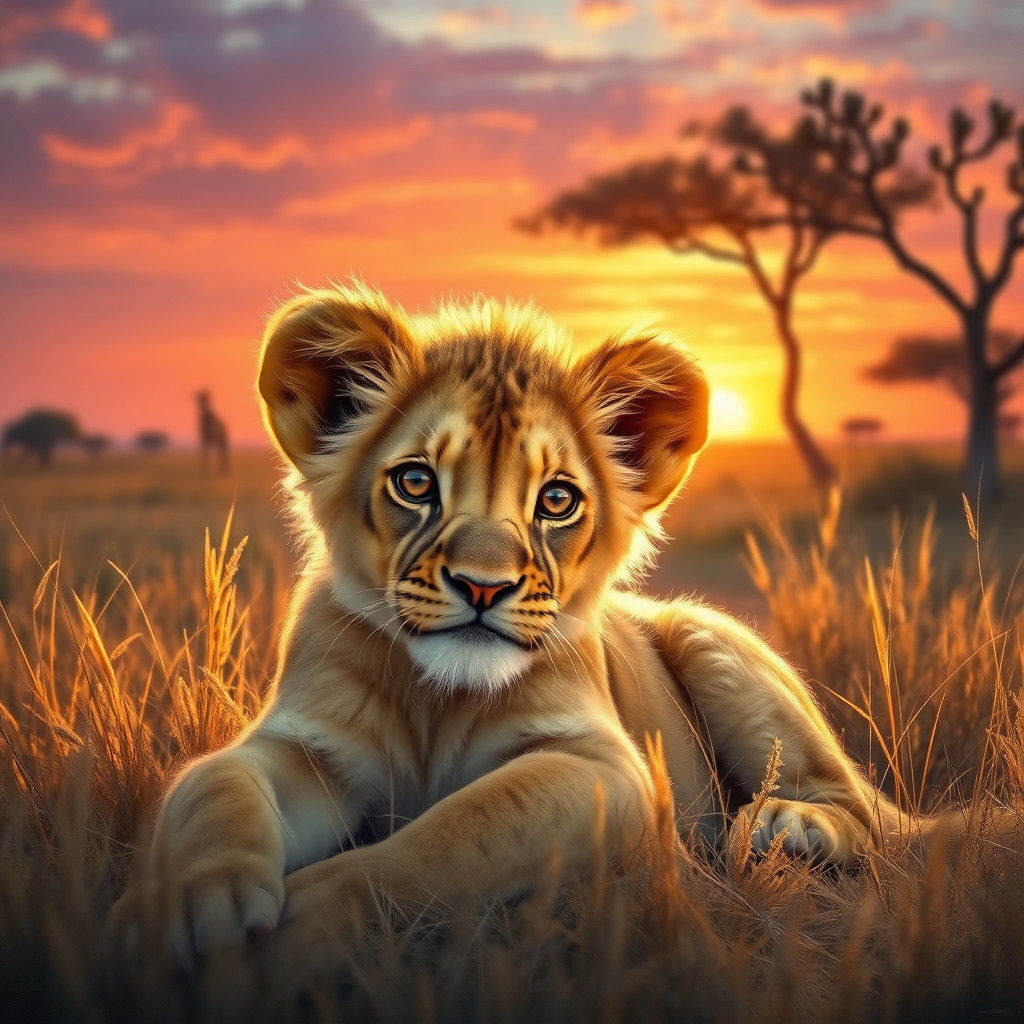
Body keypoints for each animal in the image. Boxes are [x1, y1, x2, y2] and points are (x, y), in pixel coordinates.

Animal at [119, 283, 955, 967]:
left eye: (556, 500)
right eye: (415, 483)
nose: (482, 586)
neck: (436, 699)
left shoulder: (606, 770)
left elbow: (439, 843)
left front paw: (296, 934)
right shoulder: (307, 748)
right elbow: (210, 779)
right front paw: (190, 905)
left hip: (710, 640)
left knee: (862, 813)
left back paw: (790, 826)